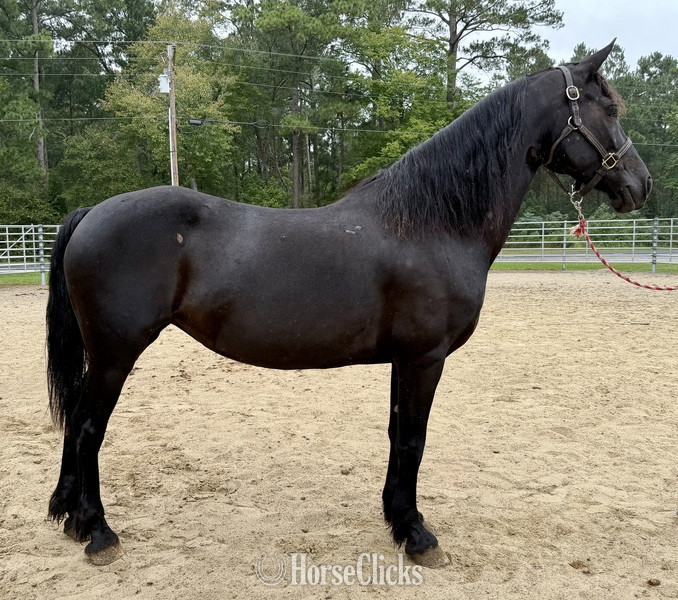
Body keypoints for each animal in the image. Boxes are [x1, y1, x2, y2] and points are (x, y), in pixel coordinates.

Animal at [46, 42, 651, 567]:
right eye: (606, 108)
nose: (640, 184)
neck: (432, 224)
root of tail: (92, 212)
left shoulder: (403, 360)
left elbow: (396, 435)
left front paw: (395, 519)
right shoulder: (425, 358)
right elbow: (414, 439)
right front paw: (417, 534)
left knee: (76, 419)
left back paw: (70, 517)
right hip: (116, 353)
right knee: (87, 426)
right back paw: (98, 531)